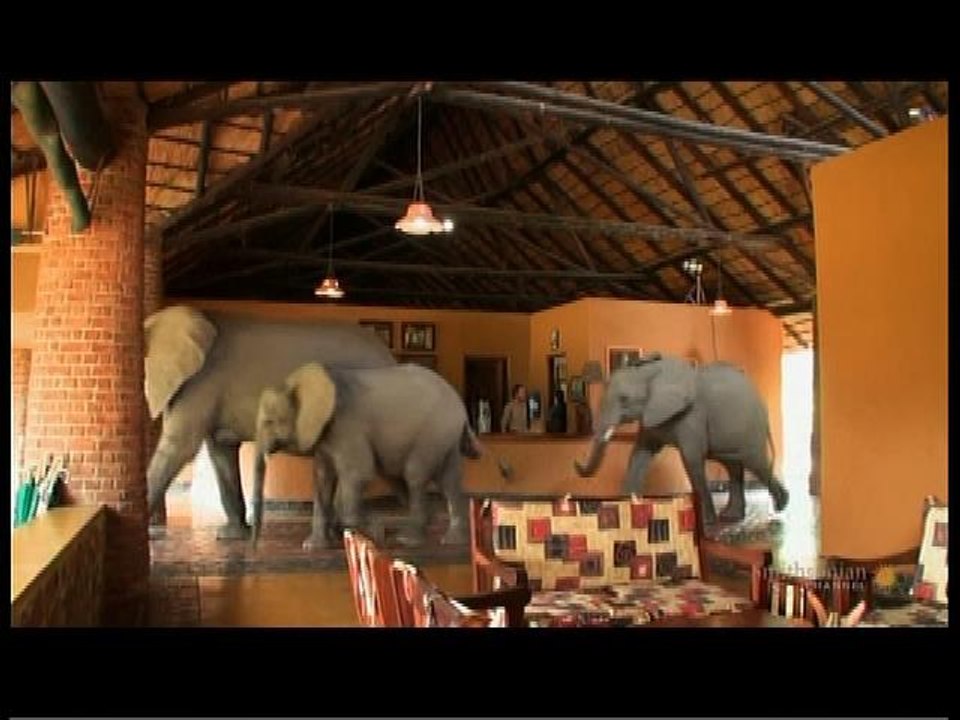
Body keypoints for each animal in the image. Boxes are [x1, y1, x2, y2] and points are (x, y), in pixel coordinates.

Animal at [251, 362, 512, 549]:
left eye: (270, 421)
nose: (253, 548)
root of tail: (460, 406)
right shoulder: (324, 433)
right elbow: (323, 479)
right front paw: (313, 547)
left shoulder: (347, 425)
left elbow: (359, 473)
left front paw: (376, 533)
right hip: (445, 436)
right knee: (446, 481)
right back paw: (452, 540)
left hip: (434, 432)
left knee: (415, 475)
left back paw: (409, 540)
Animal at [573, 353, 789, 529]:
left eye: (624, 399)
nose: (576, 463)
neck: (651, 371)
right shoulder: (651, 415)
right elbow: (639, 455)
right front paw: (627, 508)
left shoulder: (692, 415)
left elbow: (691, 459)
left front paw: (706, 523)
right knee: (734, 465)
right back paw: (733, 516)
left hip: (750, 429)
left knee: (755, 462)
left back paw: (781, 505)